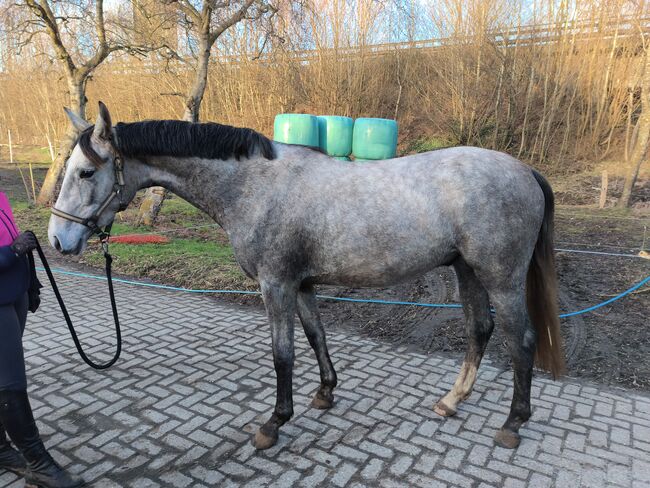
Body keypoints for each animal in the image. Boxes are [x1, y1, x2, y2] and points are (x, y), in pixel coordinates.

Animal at [48, 102, 565, 452]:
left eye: (87, 171)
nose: (58, 240)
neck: (255, 188)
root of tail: (525, 170)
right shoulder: (302, 284)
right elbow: (316, 336)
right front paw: (325, 393)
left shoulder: (275, 284)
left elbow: (283, 355)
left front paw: (274, 423)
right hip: (467, 271)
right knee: (480, 331)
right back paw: (451, 401)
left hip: (501, 278)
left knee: (520, 342)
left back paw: (512, 425)